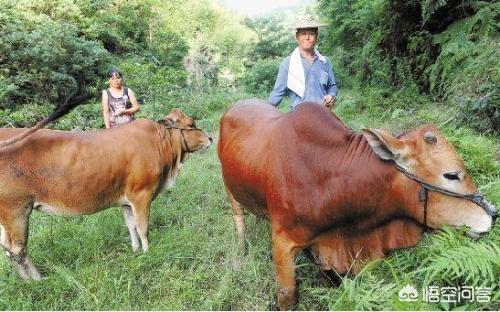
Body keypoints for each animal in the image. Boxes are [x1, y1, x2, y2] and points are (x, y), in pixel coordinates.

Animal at [0, 108, 212, 280]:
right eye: (191, 124)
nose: (210, 139)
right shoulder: (141, 195)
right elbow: (142, 227)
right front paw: (147, 252)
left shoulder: (127, 201)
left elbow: (131, 226)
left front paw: (135, 250)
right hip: (16, 210)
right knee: (18, 249)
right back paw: (36, 280)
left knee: (8, 248)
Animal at [218, 100, 496, 310]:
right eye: (452, 175)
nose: (493, 213)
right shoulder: (282, 243)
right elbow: (288, 295)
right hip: (228, 187)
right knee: (238, 217)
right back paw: (241, 247)